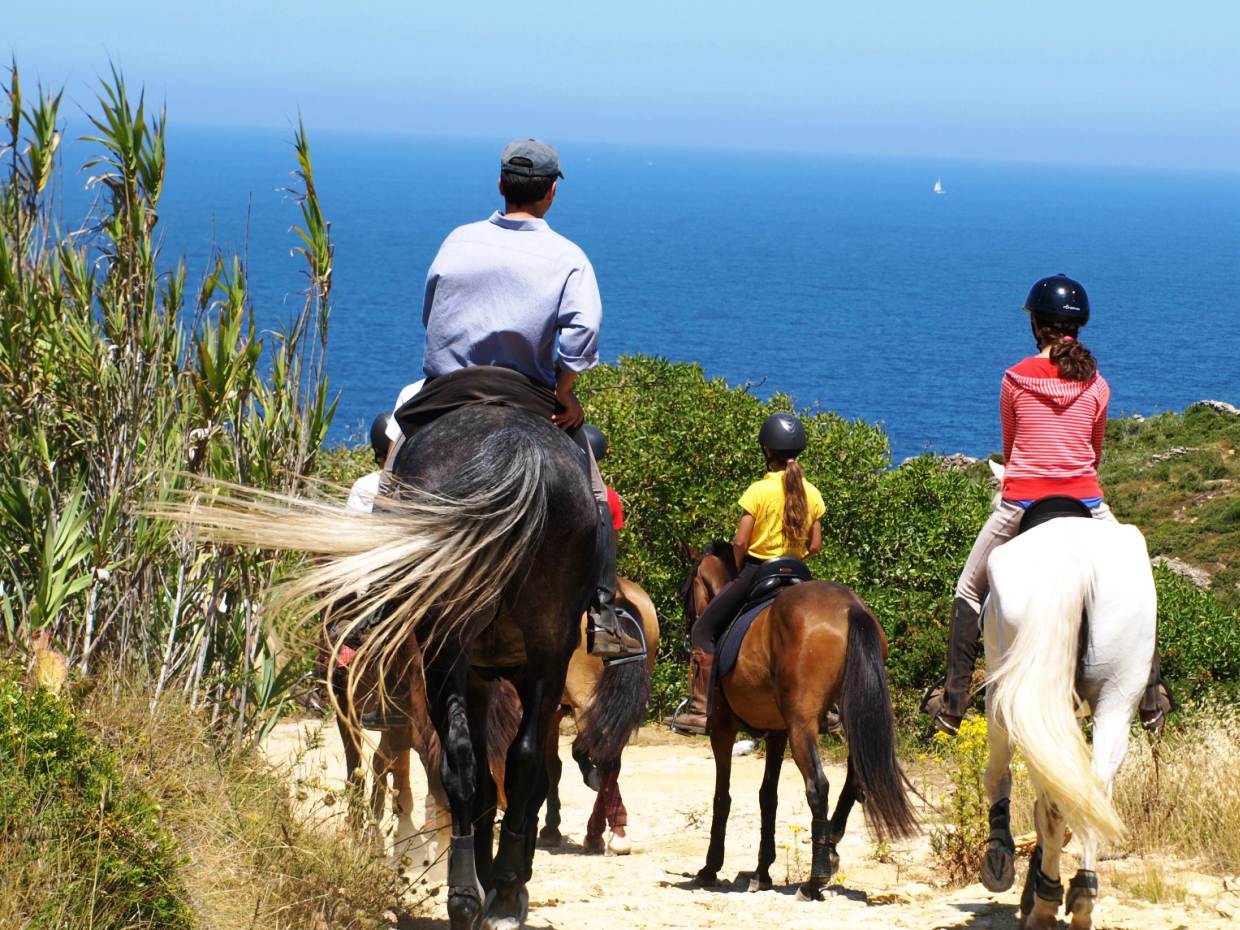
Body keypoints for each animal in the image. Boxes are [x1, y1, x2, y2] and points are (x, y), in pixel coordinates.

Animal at [173, 406, 649, 930]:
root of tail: (516, 446)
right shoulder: (474, 681)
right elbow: (478, 774)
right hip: (523, 652)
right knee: (506, 763)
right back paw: (495, 888)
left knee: (506, 763)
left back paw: (486, 881)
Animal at [684, 545, 917, 902]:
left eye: (688, 588)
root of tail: (850, 608)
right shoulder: (777, 733)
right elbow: (768, 796)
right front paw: (762, 872)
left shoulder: (723, 729)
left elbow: (722, 797)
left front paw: (711, 868)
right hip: (846, 716)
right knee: (855, 777)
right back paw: (830, 846)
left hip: (801, 726)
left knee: (818, 786)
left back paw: (814, 880)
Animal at [977, 473, 1150, 930]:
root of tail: (1070, 561)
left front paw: (1028, 887)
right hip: (1117, 696)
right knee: (1094, 790)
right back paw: (1083, 897)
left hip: (1014, 703)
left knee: (1042, 799)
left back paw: (1042, 902)